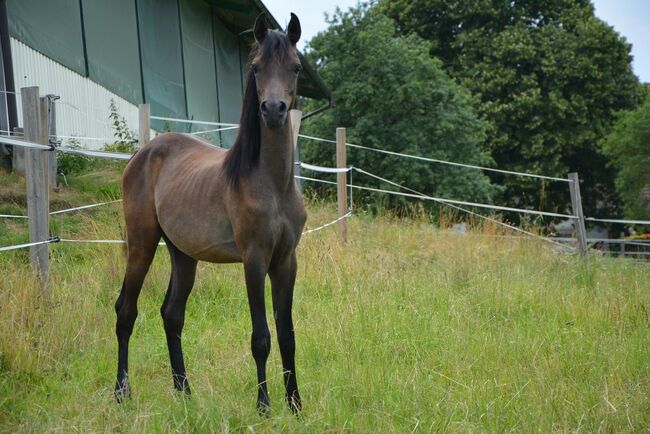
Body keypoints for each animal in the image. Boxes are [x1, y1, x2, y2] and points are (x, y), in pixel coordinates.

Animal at [114, 12, 306, 414]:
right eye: (256, 67)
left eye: (296, 67)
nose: (274, 110)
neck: (272, 184)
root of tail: (142, 154)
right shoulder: (254, 260)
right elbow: (262, 337)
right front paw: (264, 407)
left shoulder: (286, 261)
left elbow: (288, 335)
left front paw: (296, 405)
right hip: (142, 243)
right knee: (126, 311)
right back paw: (122, 392)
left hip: (183, 254)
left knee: (171, 314)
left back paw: (184, 392)